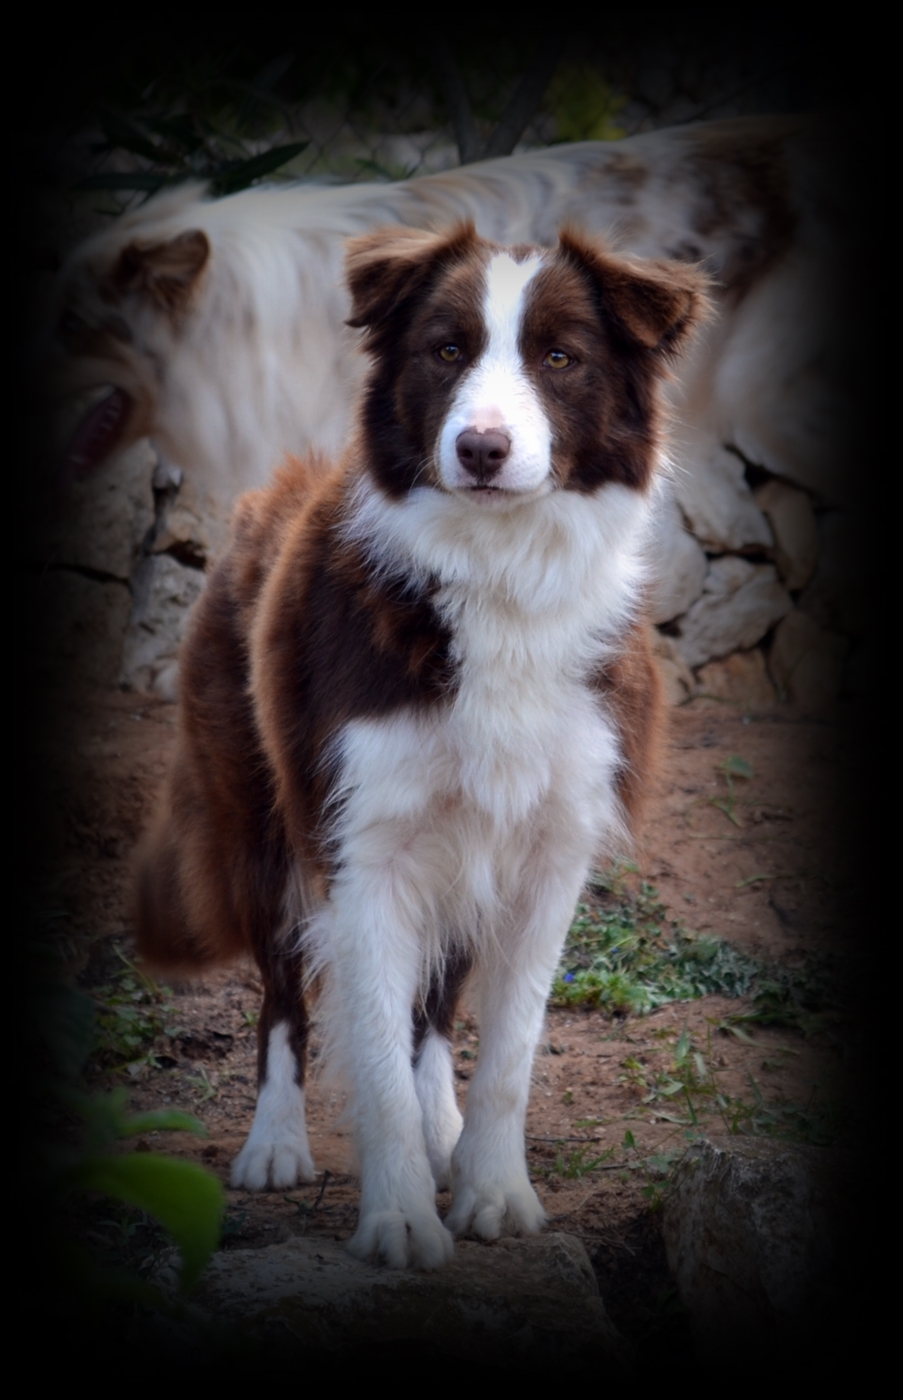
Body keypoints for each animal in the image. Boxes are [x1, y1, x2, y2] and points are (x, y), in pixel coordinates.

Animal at [137, 218, 708, 1271]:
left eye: (559, 358)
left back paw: (443, 1126)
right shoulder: (362, 846)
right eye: (446, 350)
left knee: (434, 1007)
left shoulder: (547, 850)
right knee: (283, 998)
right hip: (262, 823)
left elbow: (507, 1050)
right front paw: (399, 1218)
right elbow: (363, 1037)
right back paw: (275, 1143)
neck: (498, 576)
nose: (480, 448)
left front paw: (492, 1192)